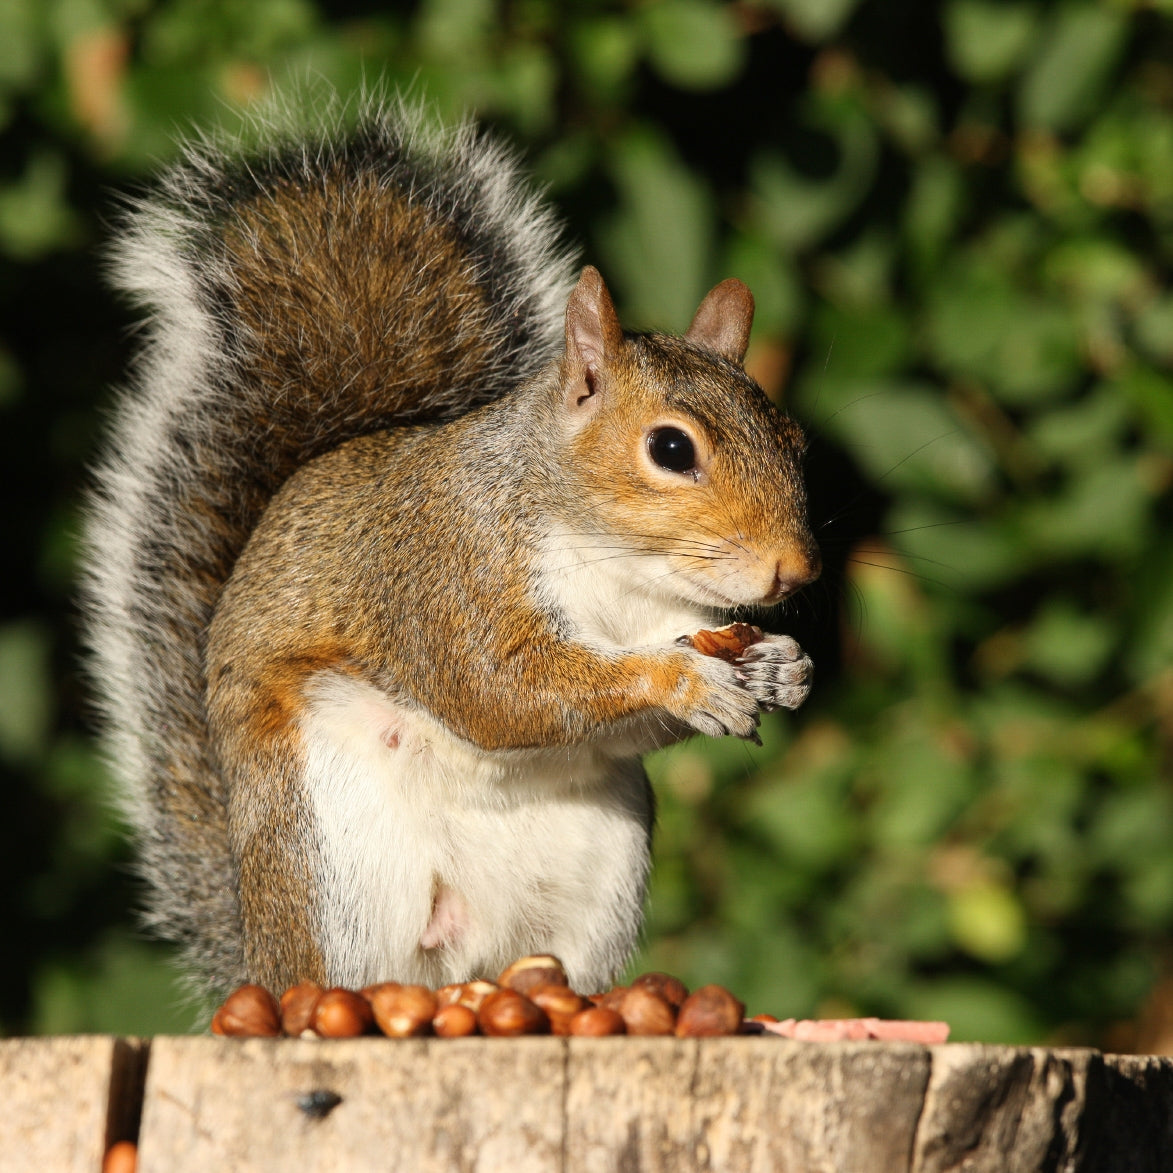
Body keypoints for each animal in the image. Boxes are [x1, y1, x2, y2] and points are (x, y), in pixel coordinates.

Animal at [81, 97, 821, 1001]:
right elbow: (495, 690)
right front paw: (681, 678)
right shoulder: (448, 571)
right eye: (671, 448)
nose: (796, 568)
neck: (621, 574)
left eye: (793, 439)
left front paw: (781, 665)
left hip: (595, 874)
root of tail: (260, 957)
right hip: (331, 861)